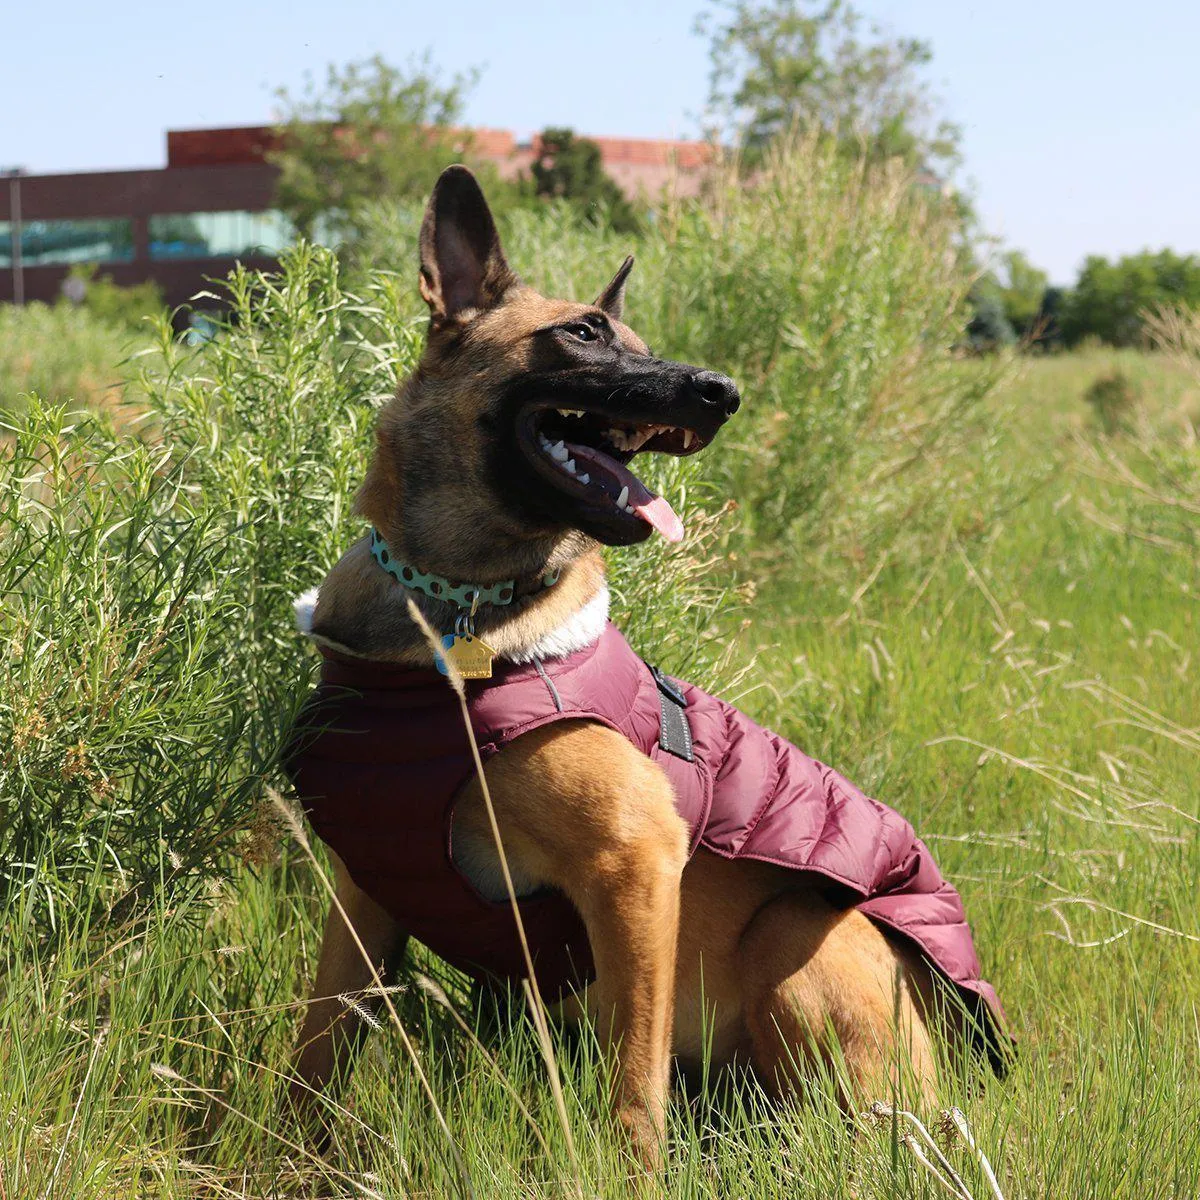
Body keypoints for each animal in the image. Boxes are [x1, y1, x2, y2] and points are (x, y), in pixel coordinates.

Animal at [283, 166, 1003, 1161]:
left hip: (796, 940)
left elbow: (631, 1087)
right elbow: (315, 1054)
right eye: (582, 332)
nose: (724, 393)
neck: (451, 607)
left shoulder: (634, 866)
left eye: (642, 342)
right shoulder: (366, 892)